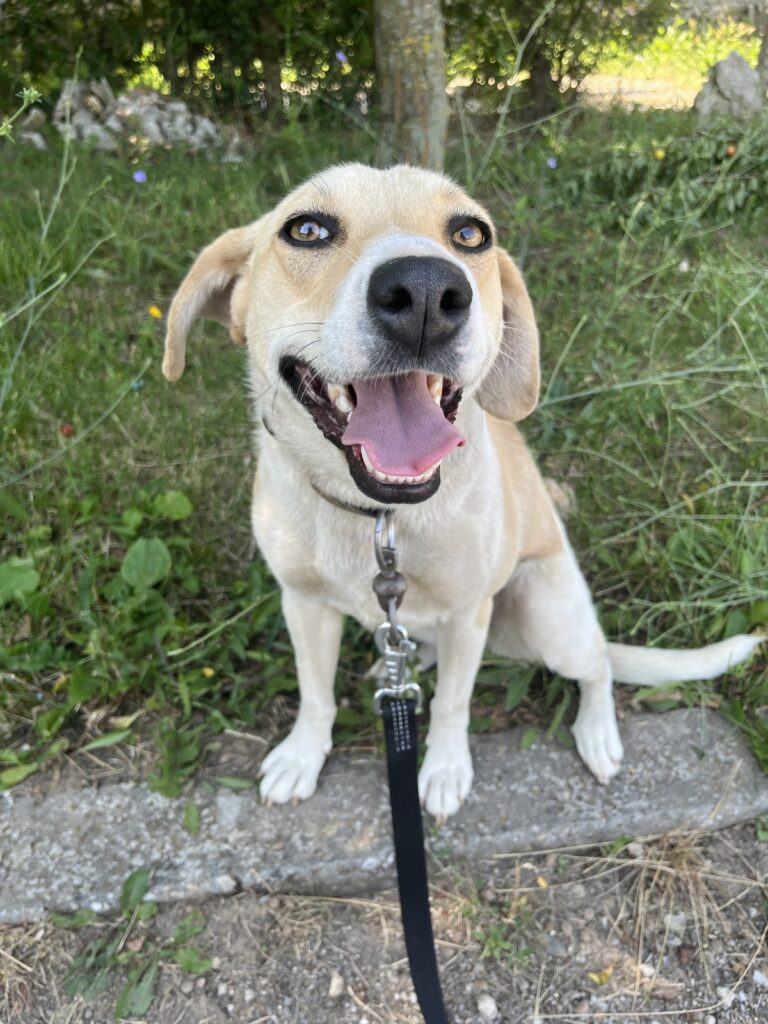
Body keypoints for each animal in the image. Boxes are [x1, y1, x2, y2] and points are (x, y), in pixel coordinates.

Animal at [163, 163, 762, 820]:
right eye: (307, 229)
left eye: (471, 234)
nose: (425, 291)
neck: (380, 518)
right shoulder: (304, 604)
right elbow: (315, 692)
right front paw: (302, 755)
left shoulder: (468, 614)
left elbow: (453, 702)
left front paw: (446, 769)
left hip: (545, 614)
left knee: (599, 664)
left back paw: (597, 731)